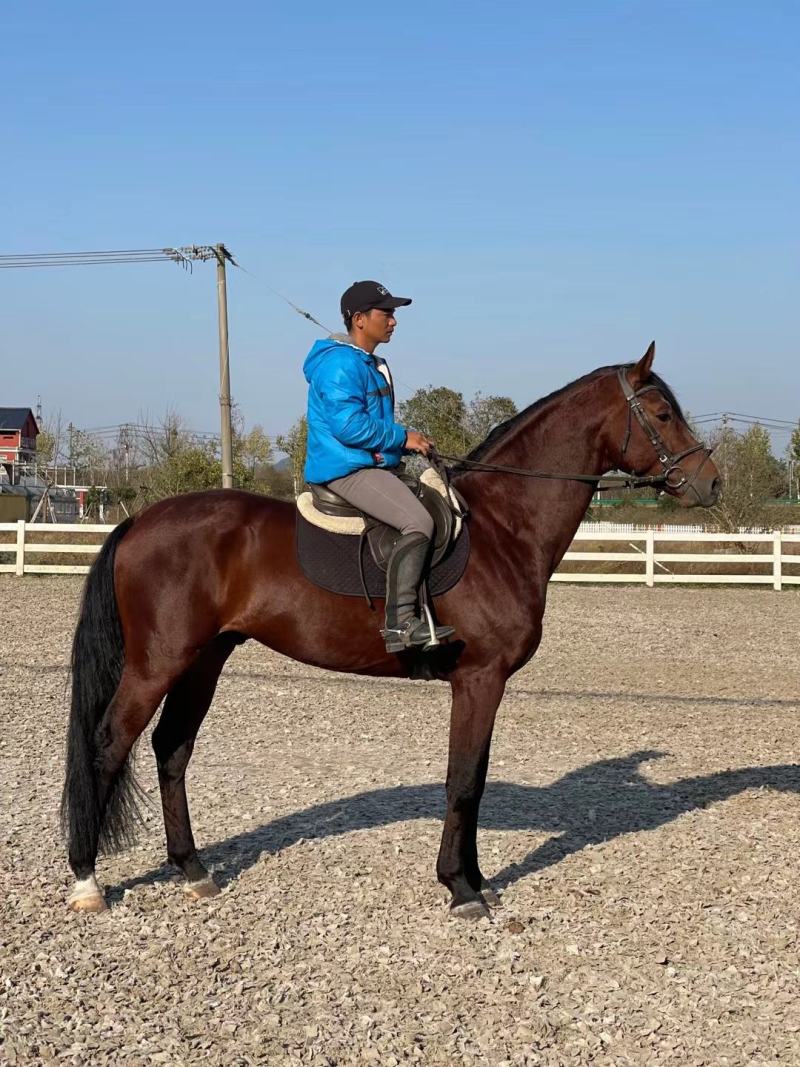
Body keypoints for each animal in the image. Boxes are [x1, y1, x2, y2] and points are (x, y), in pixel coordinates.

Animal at [61, 343, 720, 919]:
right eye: (663, 413)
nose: (711, 483)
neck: (503, 527)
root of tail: (140, 520)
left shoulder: (483, 684)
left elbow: (474, 778)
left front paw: (475, 879)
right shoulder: (480, 679)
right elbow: (463, 782)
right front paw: (461, 889)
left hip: (204, 659)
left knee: (172, 748)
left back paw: (193, 870)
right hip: (158, 663)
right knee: (108, 744)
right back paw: (87, 880)